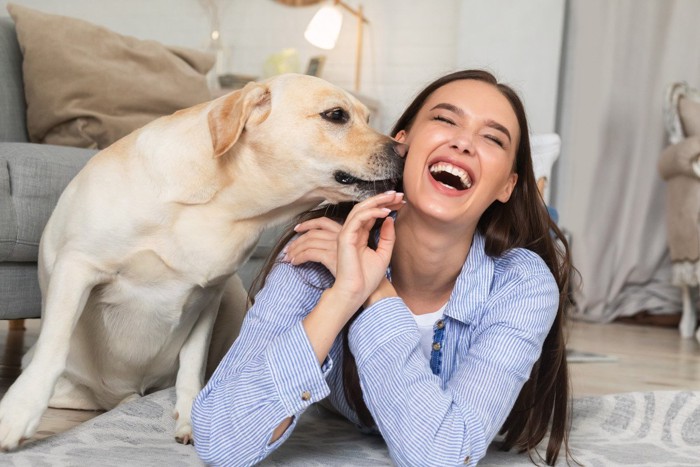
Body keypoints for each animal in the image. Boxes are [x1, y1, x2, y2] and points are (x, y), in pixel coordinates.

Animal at [0, 73, 404, 450]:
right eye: (336, 115)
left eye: (368, 117)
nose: (403, 150)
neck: (222, 205)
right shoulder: (77, 266)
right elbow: (53, 347)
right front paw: (18, 413)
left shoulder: (210, 293)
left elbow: (192, 365)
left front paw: (189, 419)